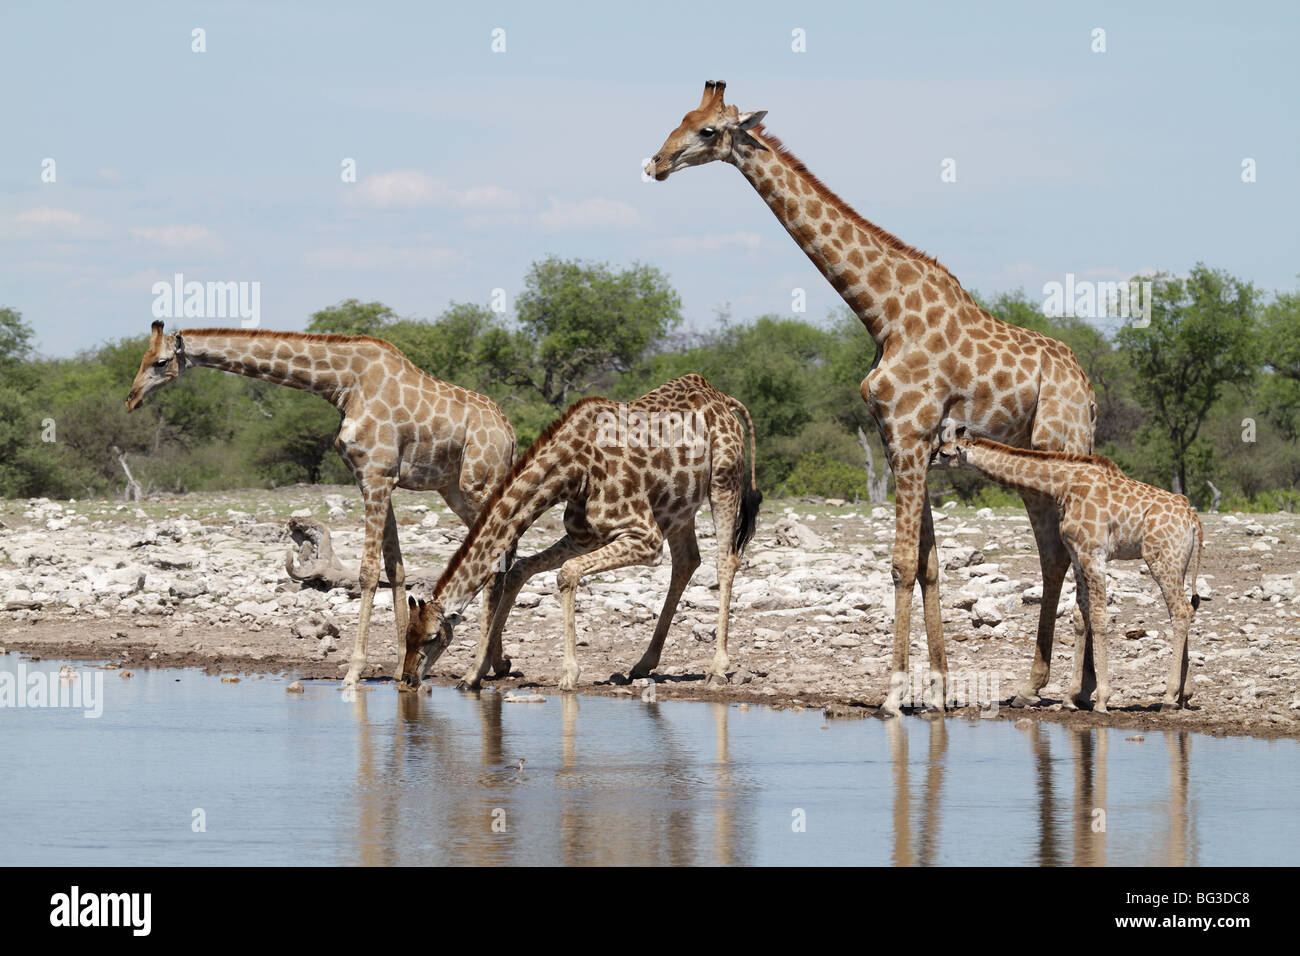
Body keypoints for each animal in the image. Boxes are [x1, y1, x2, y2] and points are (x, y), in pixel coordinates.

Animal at [124, 323, 514, 686]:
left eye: (160, 362)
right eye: (142, 358)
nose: (131, 399)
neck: (343, 384)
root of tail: (508, 431)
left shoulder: (376, 476)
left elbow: (368, 572)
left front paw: (353, 671)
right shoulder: (374, 479)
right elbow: (395, 569)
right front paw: (399, 663)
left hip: (477, 484)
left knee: (502, 560)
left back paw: (479, 669)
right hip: (452, 489)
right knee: (508, 559)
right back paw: (497, 662)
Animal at [397, 374, 759, 697]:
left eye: (431, 637)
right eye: (407, 636)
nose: (407, 680)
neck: (573, 470)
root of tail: (726, 400)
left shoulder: (645, 537)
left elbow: (567, 573)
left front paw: (569, 674)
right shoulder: (584, 535)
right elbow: (519, 570)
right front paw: (473, 674)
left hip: (723, 481)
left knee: (725, 559)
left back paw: (717, 669)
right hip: (678, 507)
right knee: (687, 561)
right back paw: (643, 664)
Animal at [650, 80, 1097, 717]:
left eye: (708, 131)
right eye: (682, 118)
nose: (656, 162)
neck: (882, 313)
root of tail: (1086, 389)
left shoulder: (909, 437)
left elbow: (901, 563)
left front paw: (892, 692)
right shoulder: (901, 443)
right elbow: (929, 566)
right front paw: (937, 689)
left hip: (1063, 448)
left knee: (1072, 553)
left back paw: (1079, 689)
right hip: (1036, 464)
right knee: (1057, 555)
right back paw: (1041, 685)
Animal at [930, 429, 1201, 712]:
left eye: (944, 453)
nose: (928, 461)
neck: (1063, 485)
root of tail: (1193, 520)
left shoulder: (1094, 553)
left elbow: (1099, 617)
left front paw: (1102, 700)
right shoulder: (1077, 554)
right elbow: (1081, 618)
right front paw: (1070, 698)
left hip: (1161, 559)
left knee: (1181, 611)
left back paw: (1169, 697)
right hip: (1177, 563)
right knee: (1184, 609)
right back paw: (1184, 695)